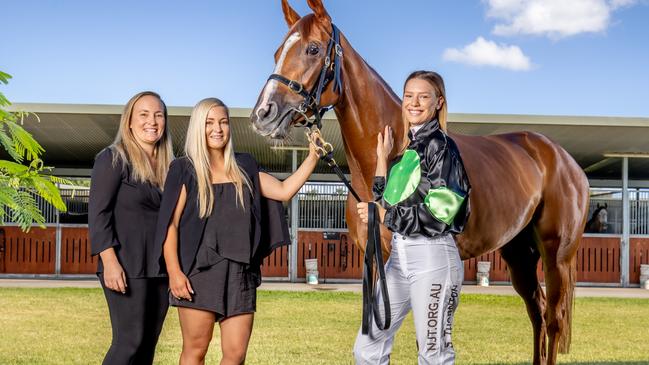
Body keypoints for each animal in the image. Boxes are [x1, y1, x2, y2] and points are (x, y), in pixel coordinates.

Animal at [251, 2, 588, 364]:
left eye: (313, 49)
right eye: (277, 52)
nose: (263, 115)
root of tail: (565, 161)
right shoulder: (375, 261)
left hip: (556, 256)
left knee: (552, 320)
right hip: (519, 253)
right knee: (536, 312)